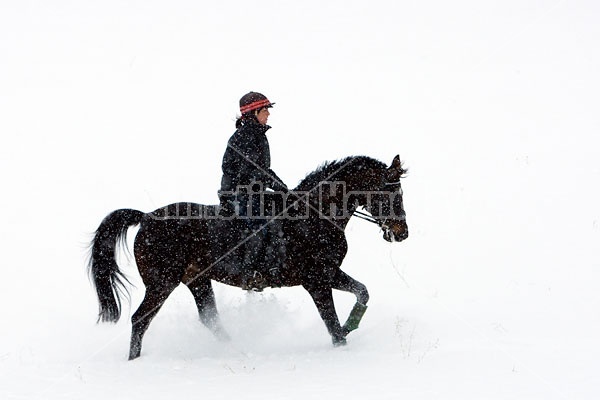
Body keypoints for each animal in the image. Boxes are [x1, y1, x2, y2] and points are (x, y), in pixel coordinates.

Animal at [89, 154, 408, 360]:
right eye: (388, 193)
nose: (402, 232)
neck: (313, 214)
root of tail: (146, 218)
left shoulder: (327, 274)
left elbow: (362, 292)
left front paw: (350, 326)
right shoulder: (317, 280)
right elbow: (331, 318)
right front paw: (343, 341)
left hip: (197, 280)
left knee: (210, 319)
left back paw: (237, 352)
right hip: (161, 283)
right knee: (140, 319)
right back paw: (135, 362)